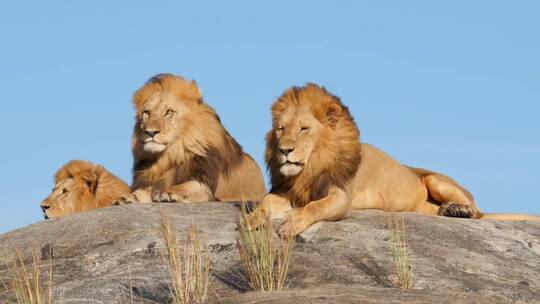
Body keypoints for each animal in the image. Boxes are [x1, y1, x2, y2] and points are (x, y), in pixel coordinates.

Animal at [114, 73, 266, 204]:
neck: (170, 155)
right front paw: (129, 197)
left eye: (169, 112)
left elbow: (184, 186)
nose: (150, 132)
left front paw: (168, 192)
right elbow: (144, 190)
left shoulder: (204, 185)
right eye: (146, 113)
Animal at [250, 83, 540, 238]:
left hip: (436, 180)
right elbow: (265, 202)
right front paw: (251, 220)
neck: (312, 165)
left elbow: (314, 208)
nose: (284, 151)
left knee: (478, 211)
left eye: (304, 129)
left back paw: (459, 210)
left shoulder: (341, 196)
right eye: (281, 129)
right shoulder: (288, 192)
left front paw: (290, 225)